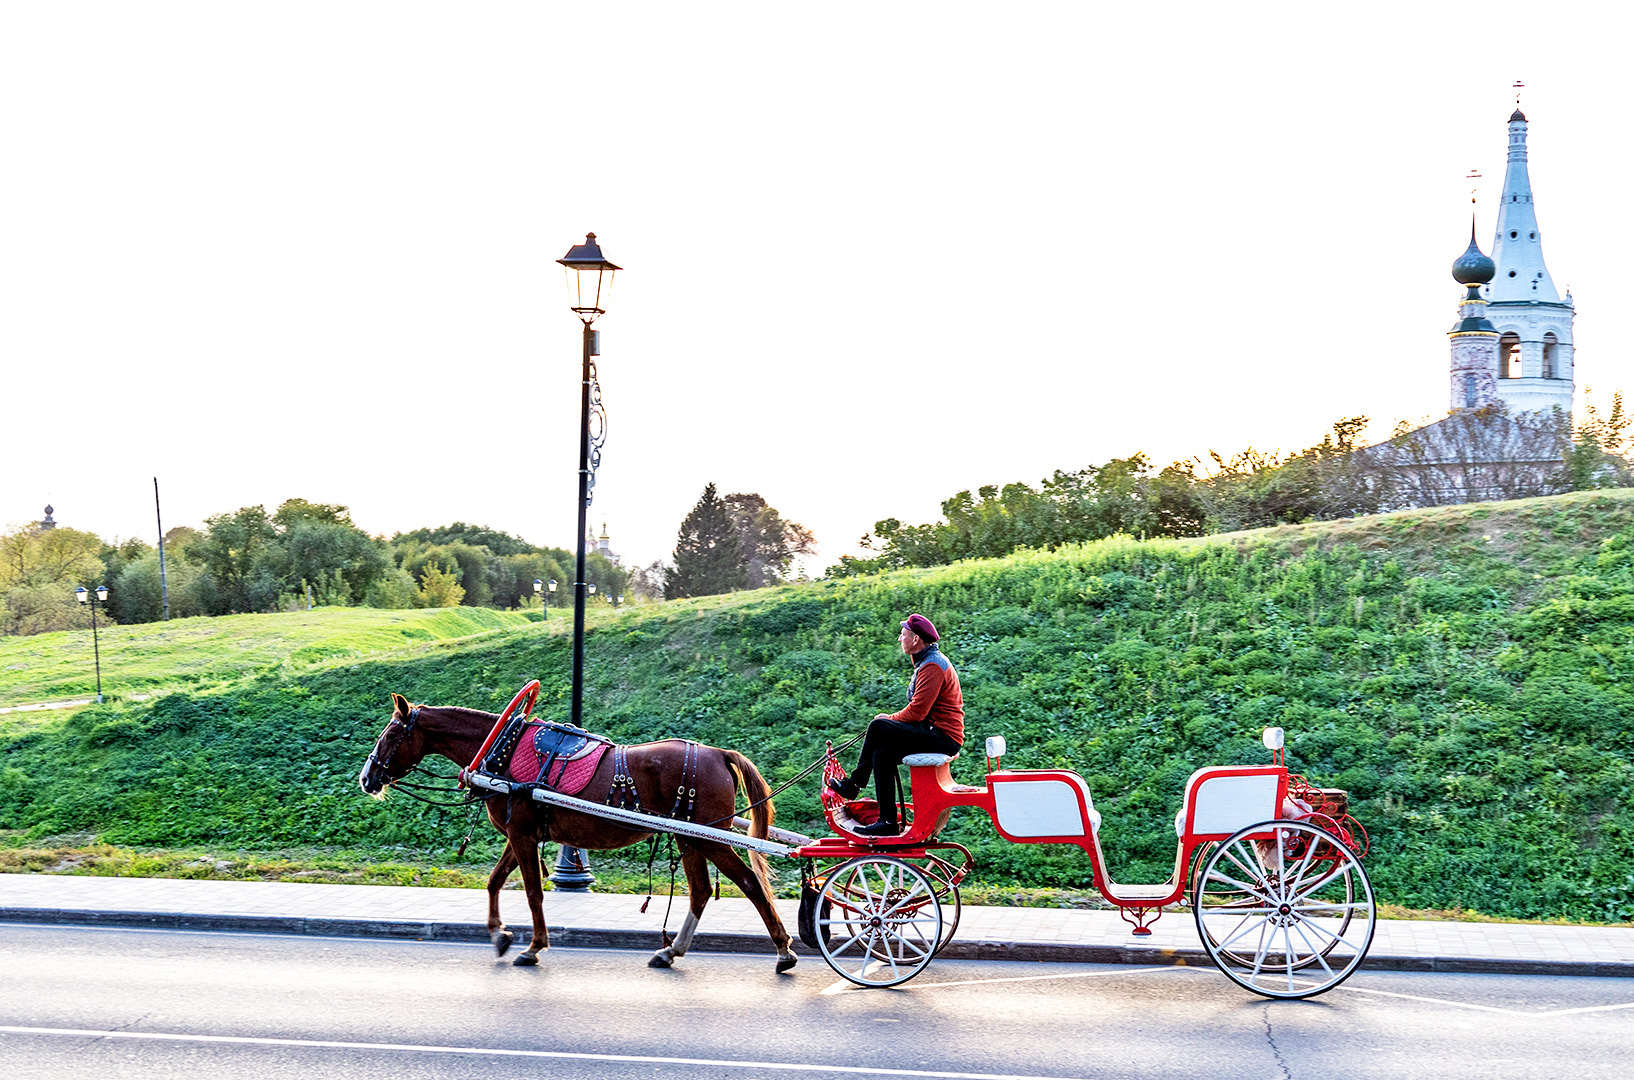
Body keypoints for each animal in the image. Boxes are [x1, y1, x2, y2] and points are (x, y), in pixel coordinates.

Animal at [359, 696, 797, 973]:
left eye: (390, 734)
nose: (367, 777)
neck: (502, 749)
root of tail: (718, 754)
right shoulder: (521, 834)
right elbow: (495, 880)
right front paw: (499, 933)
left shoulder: (522, 835)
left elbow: (532, 892)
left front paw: (533, 946)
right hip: (688, 839)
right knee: (701, 892)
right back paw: (671, 951)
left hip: (708, 838)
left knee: (750, 884)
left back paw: (783, 950)